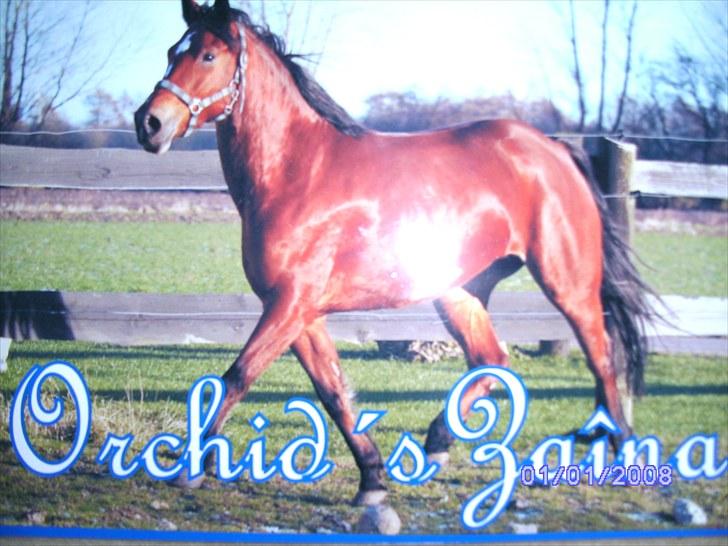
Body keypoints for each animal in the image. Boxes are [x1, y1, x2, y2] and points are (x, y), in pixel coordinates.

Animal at [134, 0, 653, 506]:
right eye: (170, 52)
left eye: (207, 55)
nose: (149, 123)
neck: (296, 172)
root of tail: (552, 149)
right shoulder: (300, 313)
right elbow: (333, 391)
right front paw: (372, 480)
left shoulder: (290, 305)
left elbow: (237, 375)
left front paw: (189, 469)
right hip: (460, 293)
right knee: (492, 360)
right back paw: (438, 444)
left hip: (568, 283)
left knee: (603, 359)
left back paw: (622, 455)